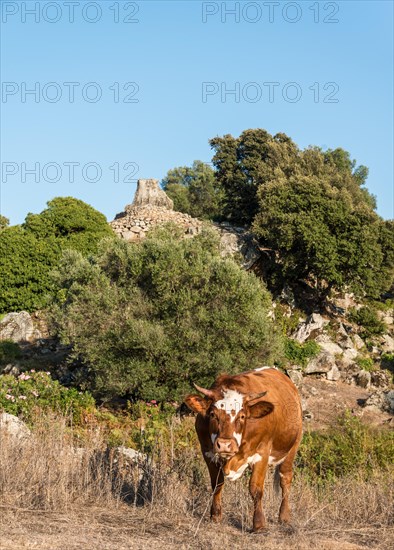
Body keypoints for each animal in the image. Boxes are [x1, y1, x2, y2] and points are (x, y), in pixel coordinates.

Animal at [184, 368, 302, 532]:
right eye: (213, 414)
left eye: (242, 416)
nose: (225, 444)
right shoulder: (207, 452)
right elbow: (216, 484)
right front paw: (215, 516)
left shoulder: (262, 453)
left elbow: (256, 489)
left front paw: (259, 524)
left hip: (292, 447)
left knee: (285, 479)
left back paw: (284, 516)